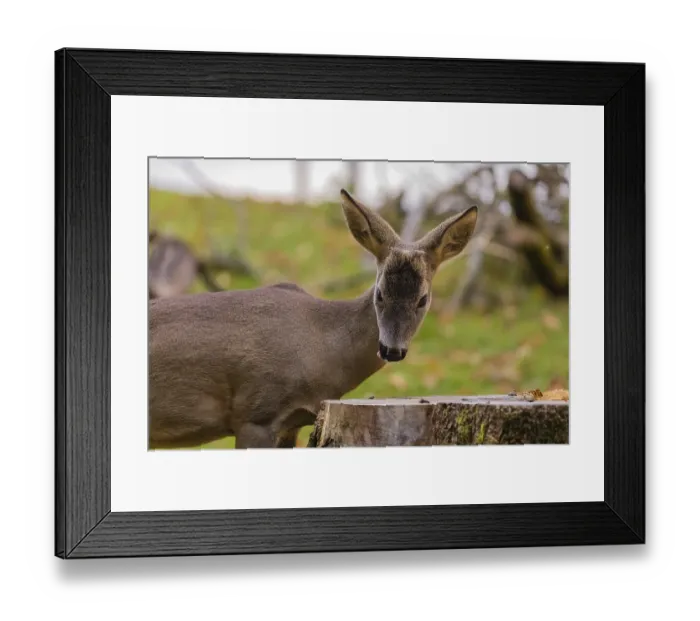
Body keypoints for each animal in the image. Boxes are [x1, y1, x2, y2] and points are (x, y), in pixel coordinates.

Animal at [148, 188, 478, 450]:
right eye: (380, 293)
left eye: (422, 300)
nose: (391, 349)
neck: (323, 348)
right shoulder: (255, 413)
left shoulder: (291, 423)